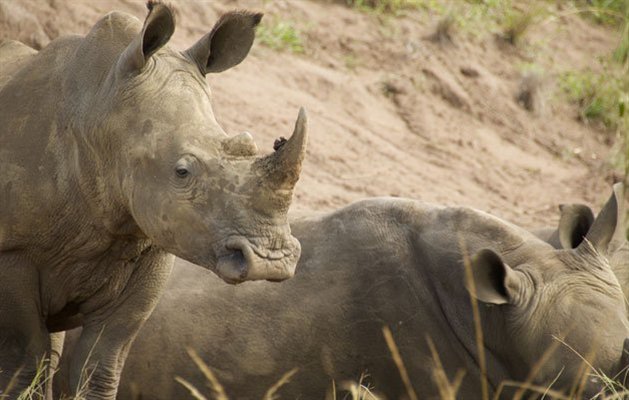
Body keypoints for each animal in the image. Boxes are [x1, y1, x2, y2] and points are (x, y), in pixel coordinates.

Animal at [0, 2, 310, 396]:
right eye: (182, 172)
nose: (272, 261)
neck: (101, 112)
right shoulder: (12, 250)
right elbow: (24, 363)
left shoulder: (151, 248)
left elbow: (101, 365)